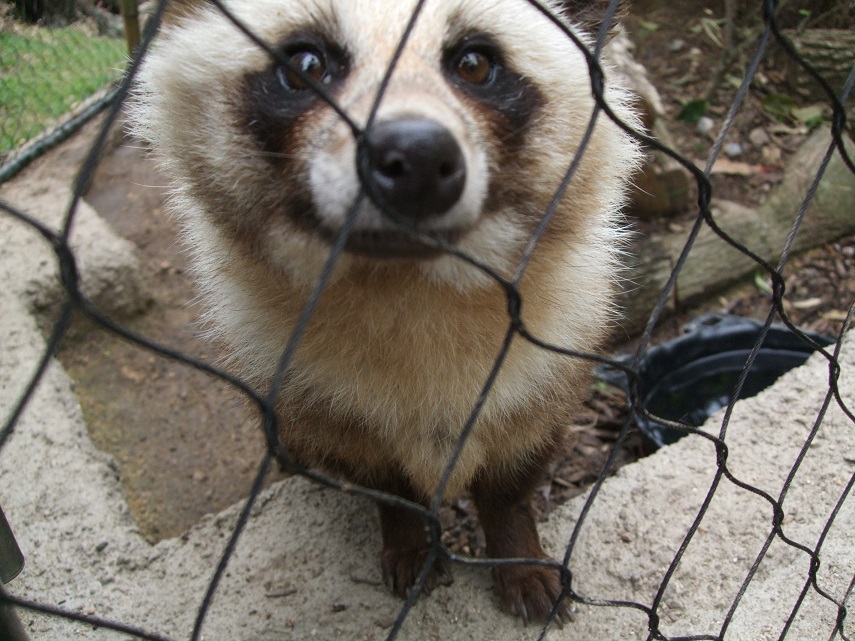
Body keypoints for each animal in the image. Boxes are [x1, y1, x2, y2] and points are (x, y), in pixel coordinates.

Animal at [134, 0, 640, 624]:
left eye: (474, 63)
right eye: (306, 63)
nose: (418, 157)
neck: (409, 291)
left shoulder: (550, 373)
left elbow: (509, 489)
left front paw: (518, 556)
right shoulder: (325, 405)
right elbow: (388, 489)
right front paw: (407, 543)